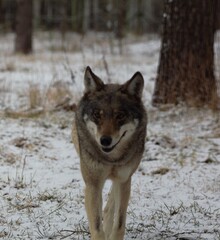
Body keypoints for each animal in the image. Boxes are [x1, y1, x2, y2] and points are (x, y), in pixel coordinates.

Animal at [72, 66, 148, 240]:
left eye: (120, 115)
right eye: (97, 115)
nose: (105, 140)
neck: (111, 159)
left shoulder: (124, 178)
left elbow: (119, 222)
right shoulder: (93, 184)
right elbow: (96, 226)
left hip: (125, 176)